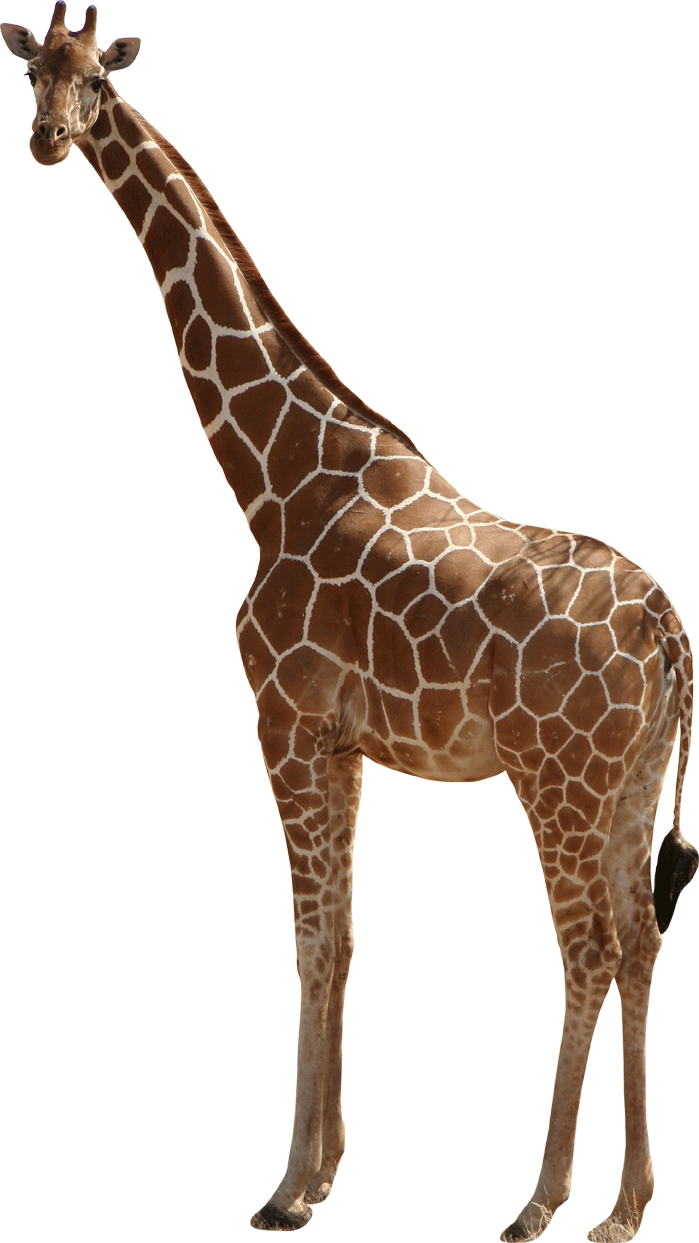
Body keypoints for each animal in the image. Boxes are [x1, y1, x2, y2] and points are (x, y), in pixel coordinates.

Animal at [2, 6, 697, 1241]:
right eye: (33, 72)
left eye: (94, 79)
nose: (45, 141)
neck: (271, 473)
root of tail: (670, 629)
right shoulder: (343, 739)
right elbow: (348, 939)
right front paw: (323, 1173)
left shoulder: (280, 718)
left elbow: (309, 939)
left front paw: (283, 1187)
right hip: (630, 777)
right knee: (645, 939)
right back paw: (626, 1204)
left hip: (555, 774)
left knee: (588, 944)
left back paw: (537, 1199)